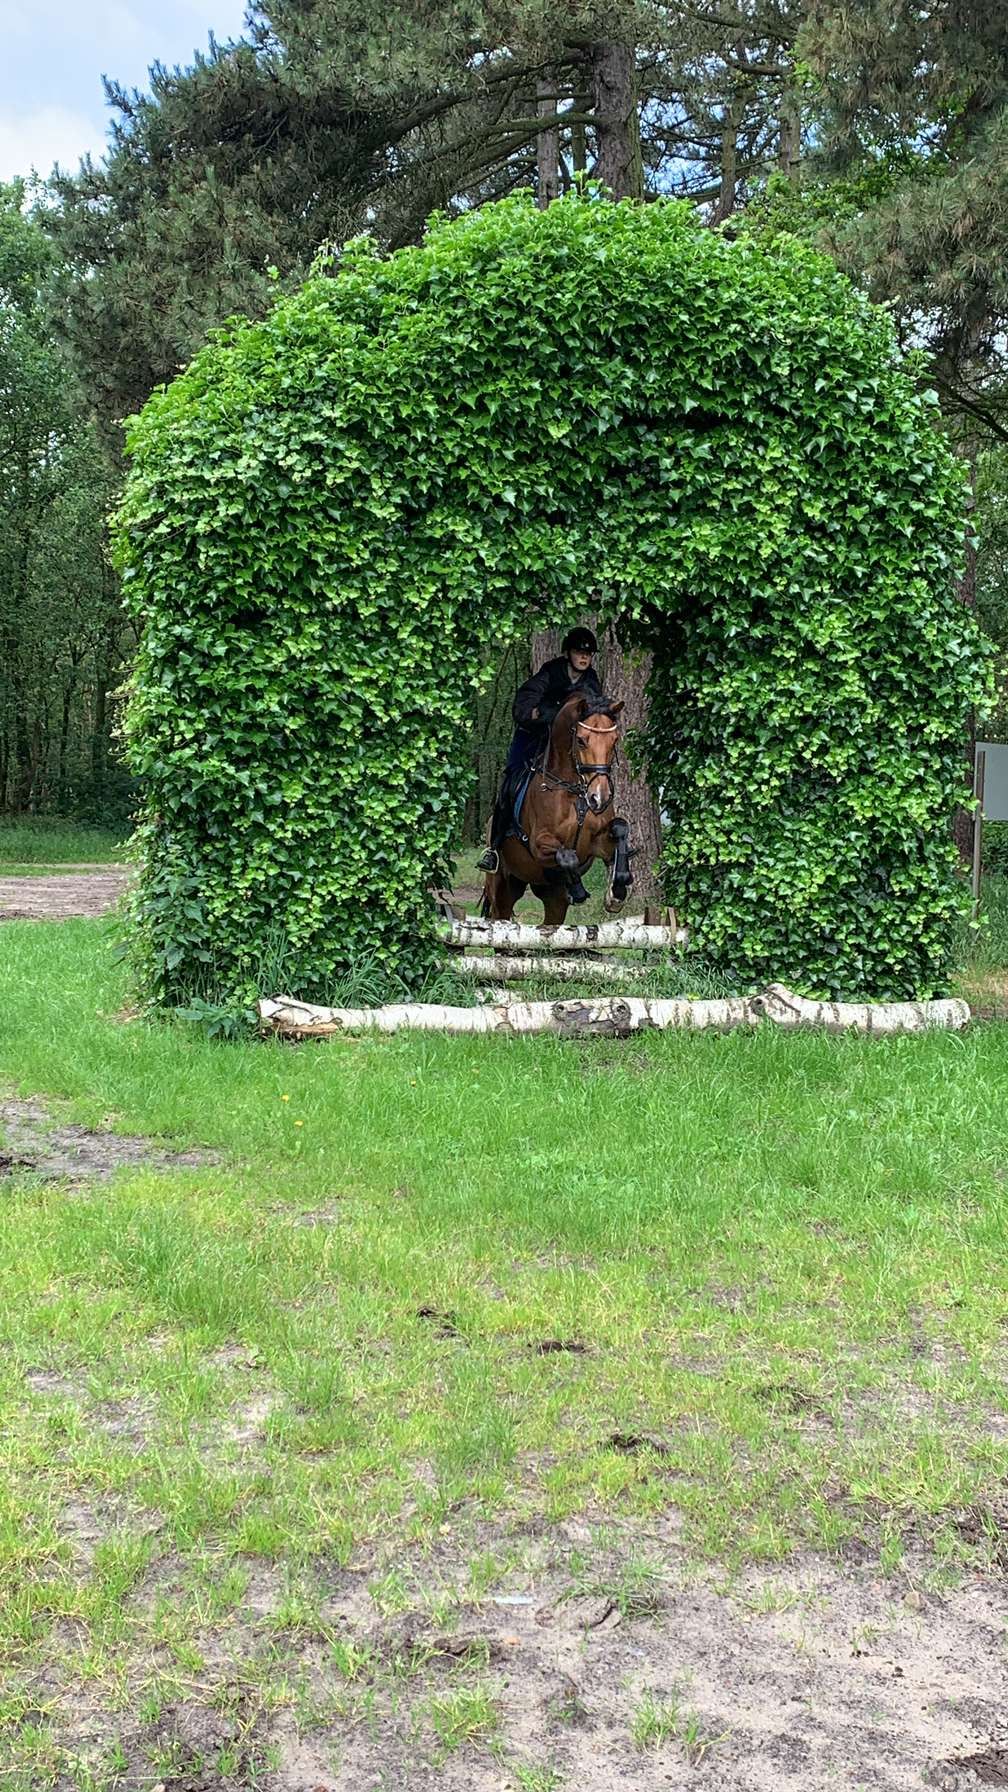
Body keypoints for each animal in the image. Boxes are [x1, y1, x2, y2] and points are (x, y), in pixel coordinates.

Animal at [481, 693, 634, 924]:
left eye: (614, 740)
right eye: (581, 741)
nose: (600, 797)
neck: (575, 793)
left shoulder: (598, 843)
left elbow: (620, 829)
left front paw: (616, 892)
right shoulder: (539, 845)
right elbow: (567, 856)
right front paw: (578, 890)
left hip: (550, 897)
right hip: (502, 887)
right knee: (501, 914)